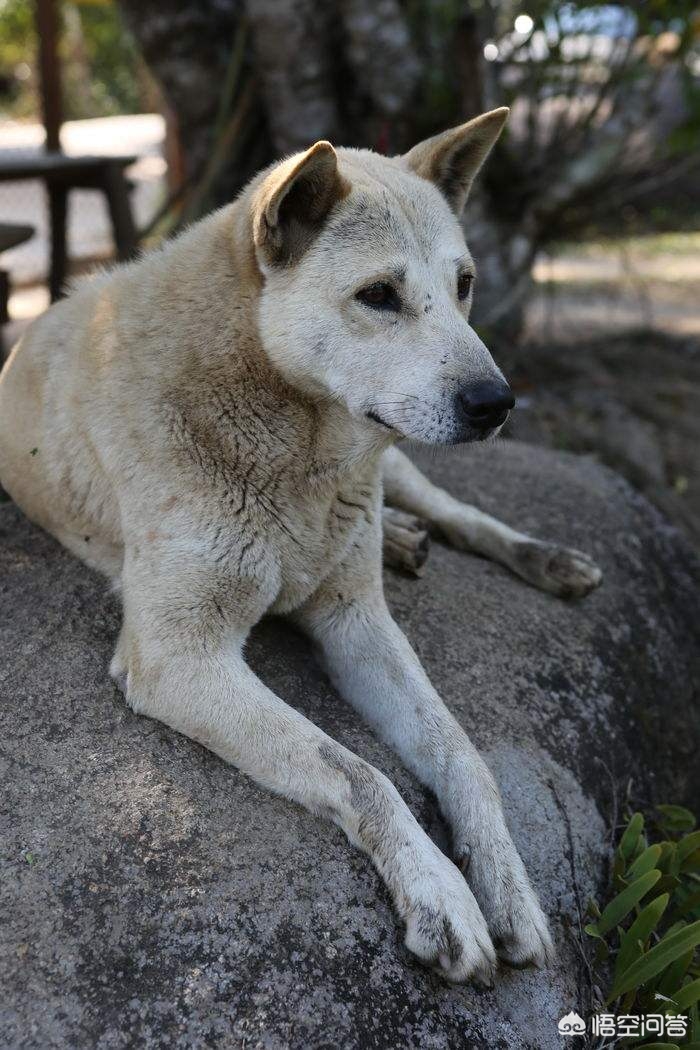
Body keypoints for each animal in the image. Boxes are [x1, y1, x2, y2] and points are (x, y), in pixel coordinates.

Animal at [0, 108, 604, 982]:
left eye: (464, 285)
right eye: (379, 296)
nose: (498, 403)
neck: (293, 453)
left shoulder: (357, 621)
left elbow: (463, 755)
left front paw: (506, 883)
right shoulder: (180, 657)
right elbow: (359, 772)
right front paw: (441, 894)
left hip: (402, 460)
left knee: (456, 511)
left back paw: (530, 557)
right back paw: (406, 542)